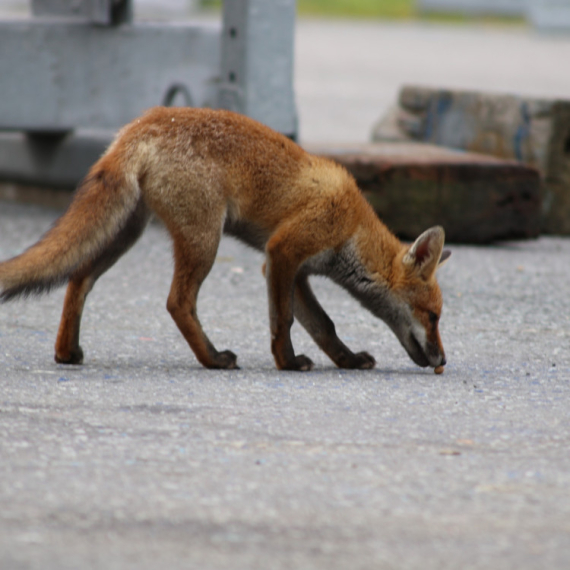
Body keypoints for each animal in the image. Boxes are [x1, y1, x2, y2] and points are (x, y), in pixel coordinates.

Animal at [1, 106, 452, 370]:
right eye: (433, 316)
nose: (442, 359)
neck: (352, 228)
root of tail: (141, 123)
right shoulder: (283, 251)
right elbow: (284, 320)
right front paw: (287, 363)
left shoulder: (293, 269)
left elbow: (322, 324)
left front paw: (347, 360)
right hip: (204, 239)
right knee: (177, 302)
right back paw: (213, 359)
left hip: (126, 231)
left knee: (78, 278)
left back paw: (66, 352)